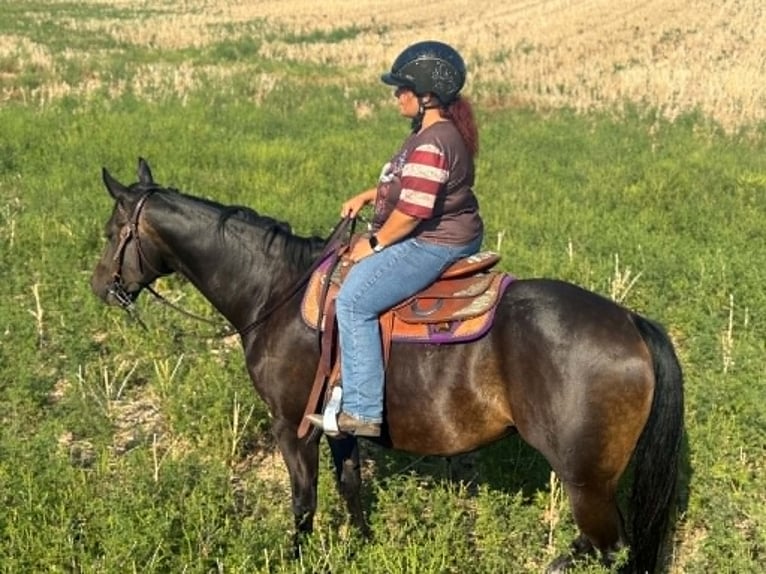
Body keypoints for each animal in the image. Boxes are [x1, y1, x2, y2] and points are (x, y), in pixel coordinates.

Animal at [90, 158, 684, 573]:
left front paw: (295, 555)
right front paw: (362, 545)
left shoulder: (291, 425)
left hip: (586, 479)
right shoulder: (340, 425)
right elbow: (351, 487)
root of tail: (632, 322)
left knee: (608, 548)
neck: (276, 292)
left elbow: (303, 501)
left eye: (111, 231)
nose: (100, 286)